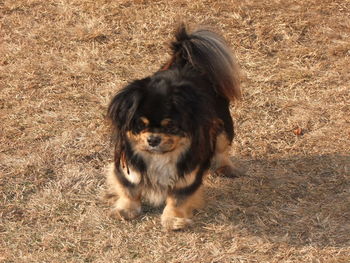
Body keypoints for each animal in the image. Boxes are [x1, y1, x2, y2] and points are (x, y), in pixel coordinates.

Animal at [105, 24, 241, 231]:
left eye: (171, 127)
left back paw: (225, 167)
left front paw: (172, 220)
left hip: (223, 128)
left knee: (221, 149)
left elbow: (178, 198)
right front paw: (126, 210)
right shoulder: (128, 163)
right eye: (140, 124)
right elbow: (130, 189)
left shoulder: (188, 173)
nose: (153, 139)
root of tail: (185, 58)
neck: (160, 157)